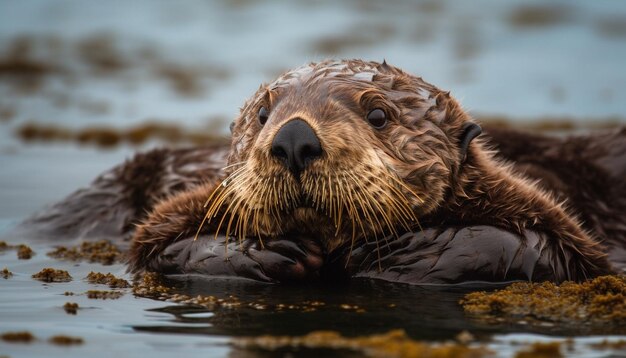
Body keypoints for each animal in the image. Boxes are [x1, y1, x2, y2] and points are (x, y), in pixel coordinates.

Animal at [11, 59, 624, 286]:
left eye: (378, 115)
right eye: (264, 114)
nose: (294, 138)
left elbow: (550, 250)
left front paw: (406, 253)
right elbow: (156, 243)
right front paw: (261, 251)